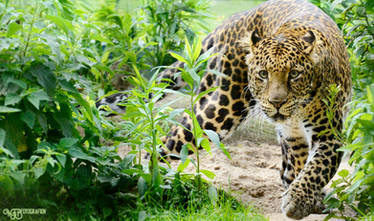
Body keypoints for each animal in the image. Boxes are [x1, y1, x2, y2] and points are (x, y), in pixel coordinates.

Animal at [96, 0, 350, 218]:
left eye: (294, 74)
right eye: (263, 74)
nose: (276, 102)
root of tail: (230, 22)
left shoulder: (324, 134)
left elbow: (315, 167)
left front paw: (300, 199)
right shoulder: (296, 135)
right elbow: (310, 167)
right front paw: (299, 201)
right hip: (218, 109)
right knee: (165, 142)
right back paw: (154, 181)